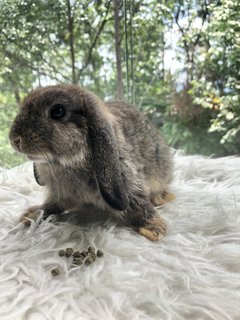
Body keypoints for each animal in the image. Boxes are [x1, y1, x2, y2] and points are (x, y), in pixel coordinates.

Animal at [9, 85, 174, 240]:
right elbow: (51, 206)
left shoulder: (129, 187)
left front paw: (153, 229)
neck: (69, 163)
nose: (15, 139)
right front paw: (32, 215)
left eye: (58, 111)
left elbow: (141, 207)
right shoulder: (59, 195)